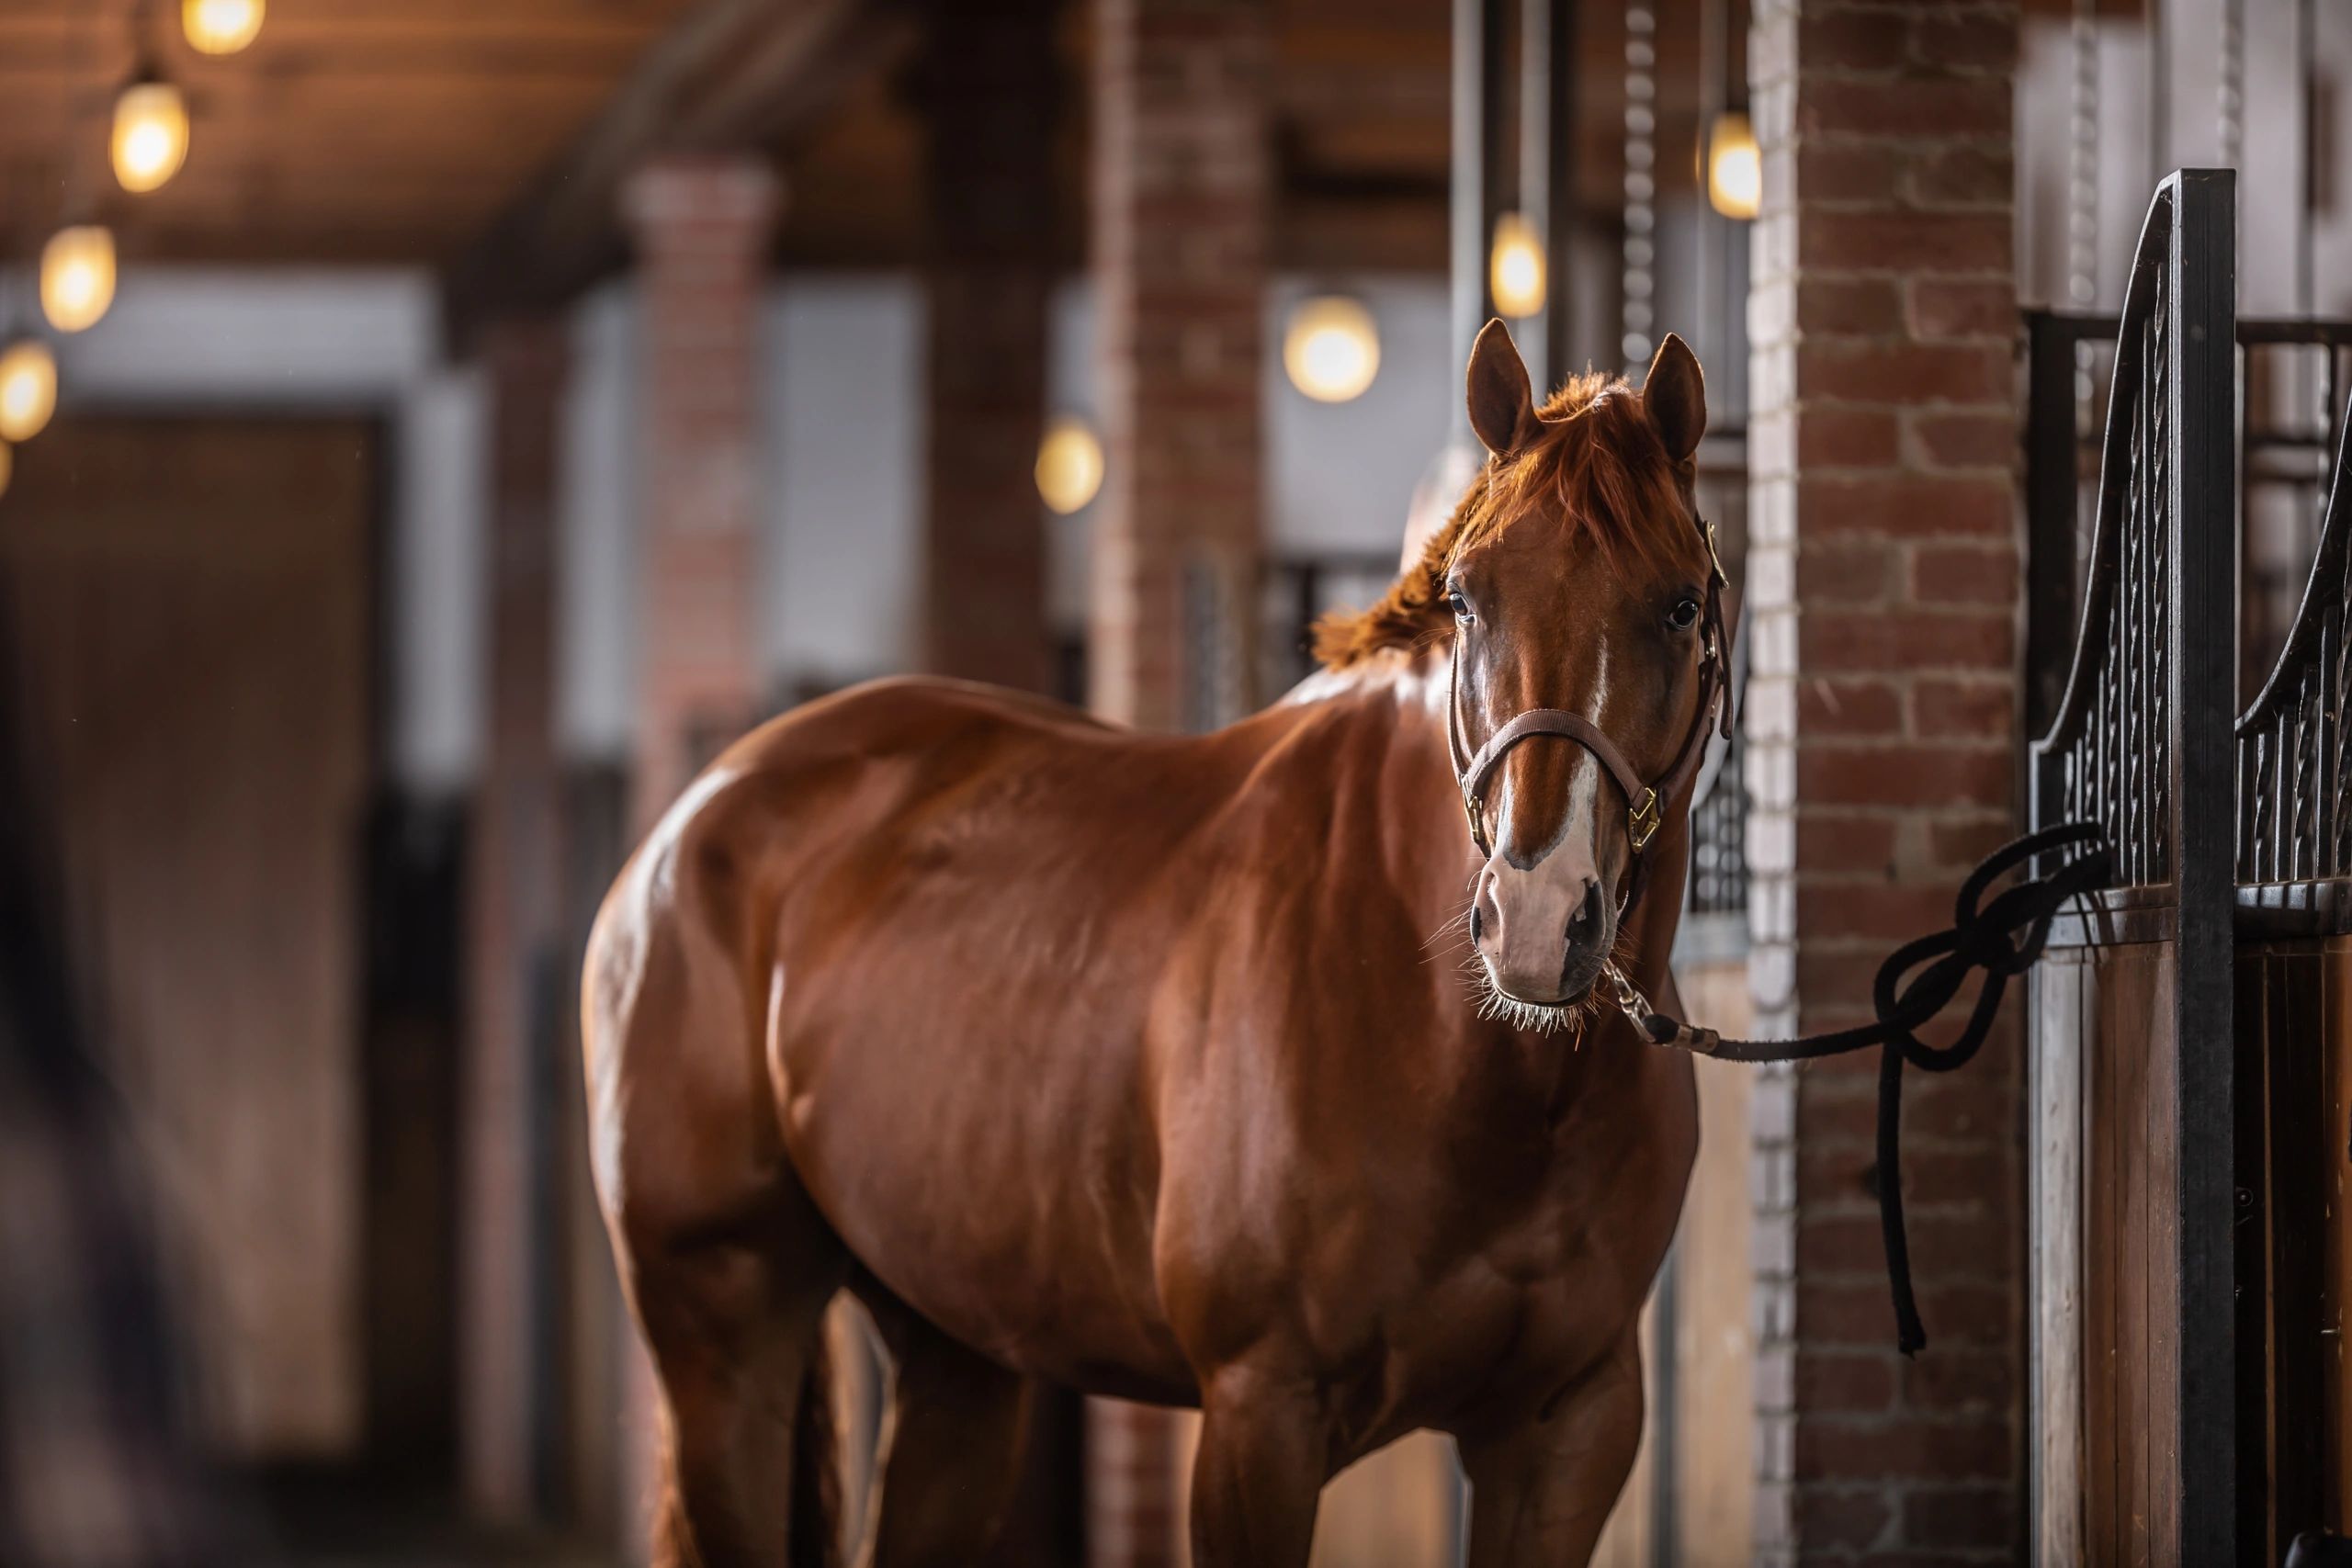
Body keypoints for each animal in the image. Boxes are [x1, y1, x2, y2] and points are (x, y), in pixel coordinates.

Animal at [582, 318, 1729, 1568]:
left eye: (1679, 606)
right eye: (1468, 601)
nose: (1534, 919)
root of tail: (695, 817)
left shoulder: (1569, 1430)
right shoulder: (1257, 1419)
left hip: (957, 1355)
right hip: (725, 1345)